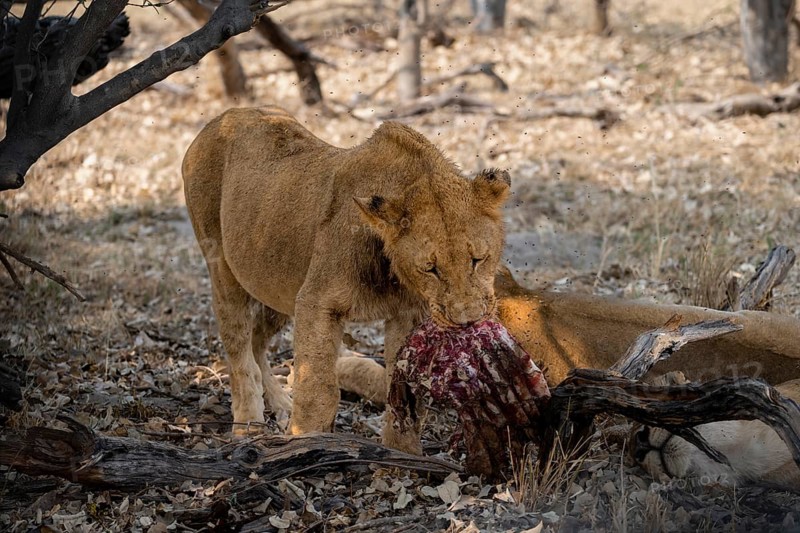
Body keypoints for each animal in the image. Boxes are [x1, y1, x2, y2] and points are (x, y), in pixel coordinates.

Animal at [182, 106, 510, 453]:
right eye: (430, 269)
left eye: (478, 259)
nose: (468, 321)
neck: (395, 274)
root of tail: (223, 116)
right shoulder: (316, 301)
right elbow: (319, 388)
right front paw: (305, 443)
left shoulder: (409, 313)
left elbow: (404, 395)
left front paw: (402, 454)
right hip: (222, 265)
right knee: (239, 346)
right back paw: (249, 424)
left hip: (277, 287)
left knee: (258, 341)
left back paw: (281, 404)